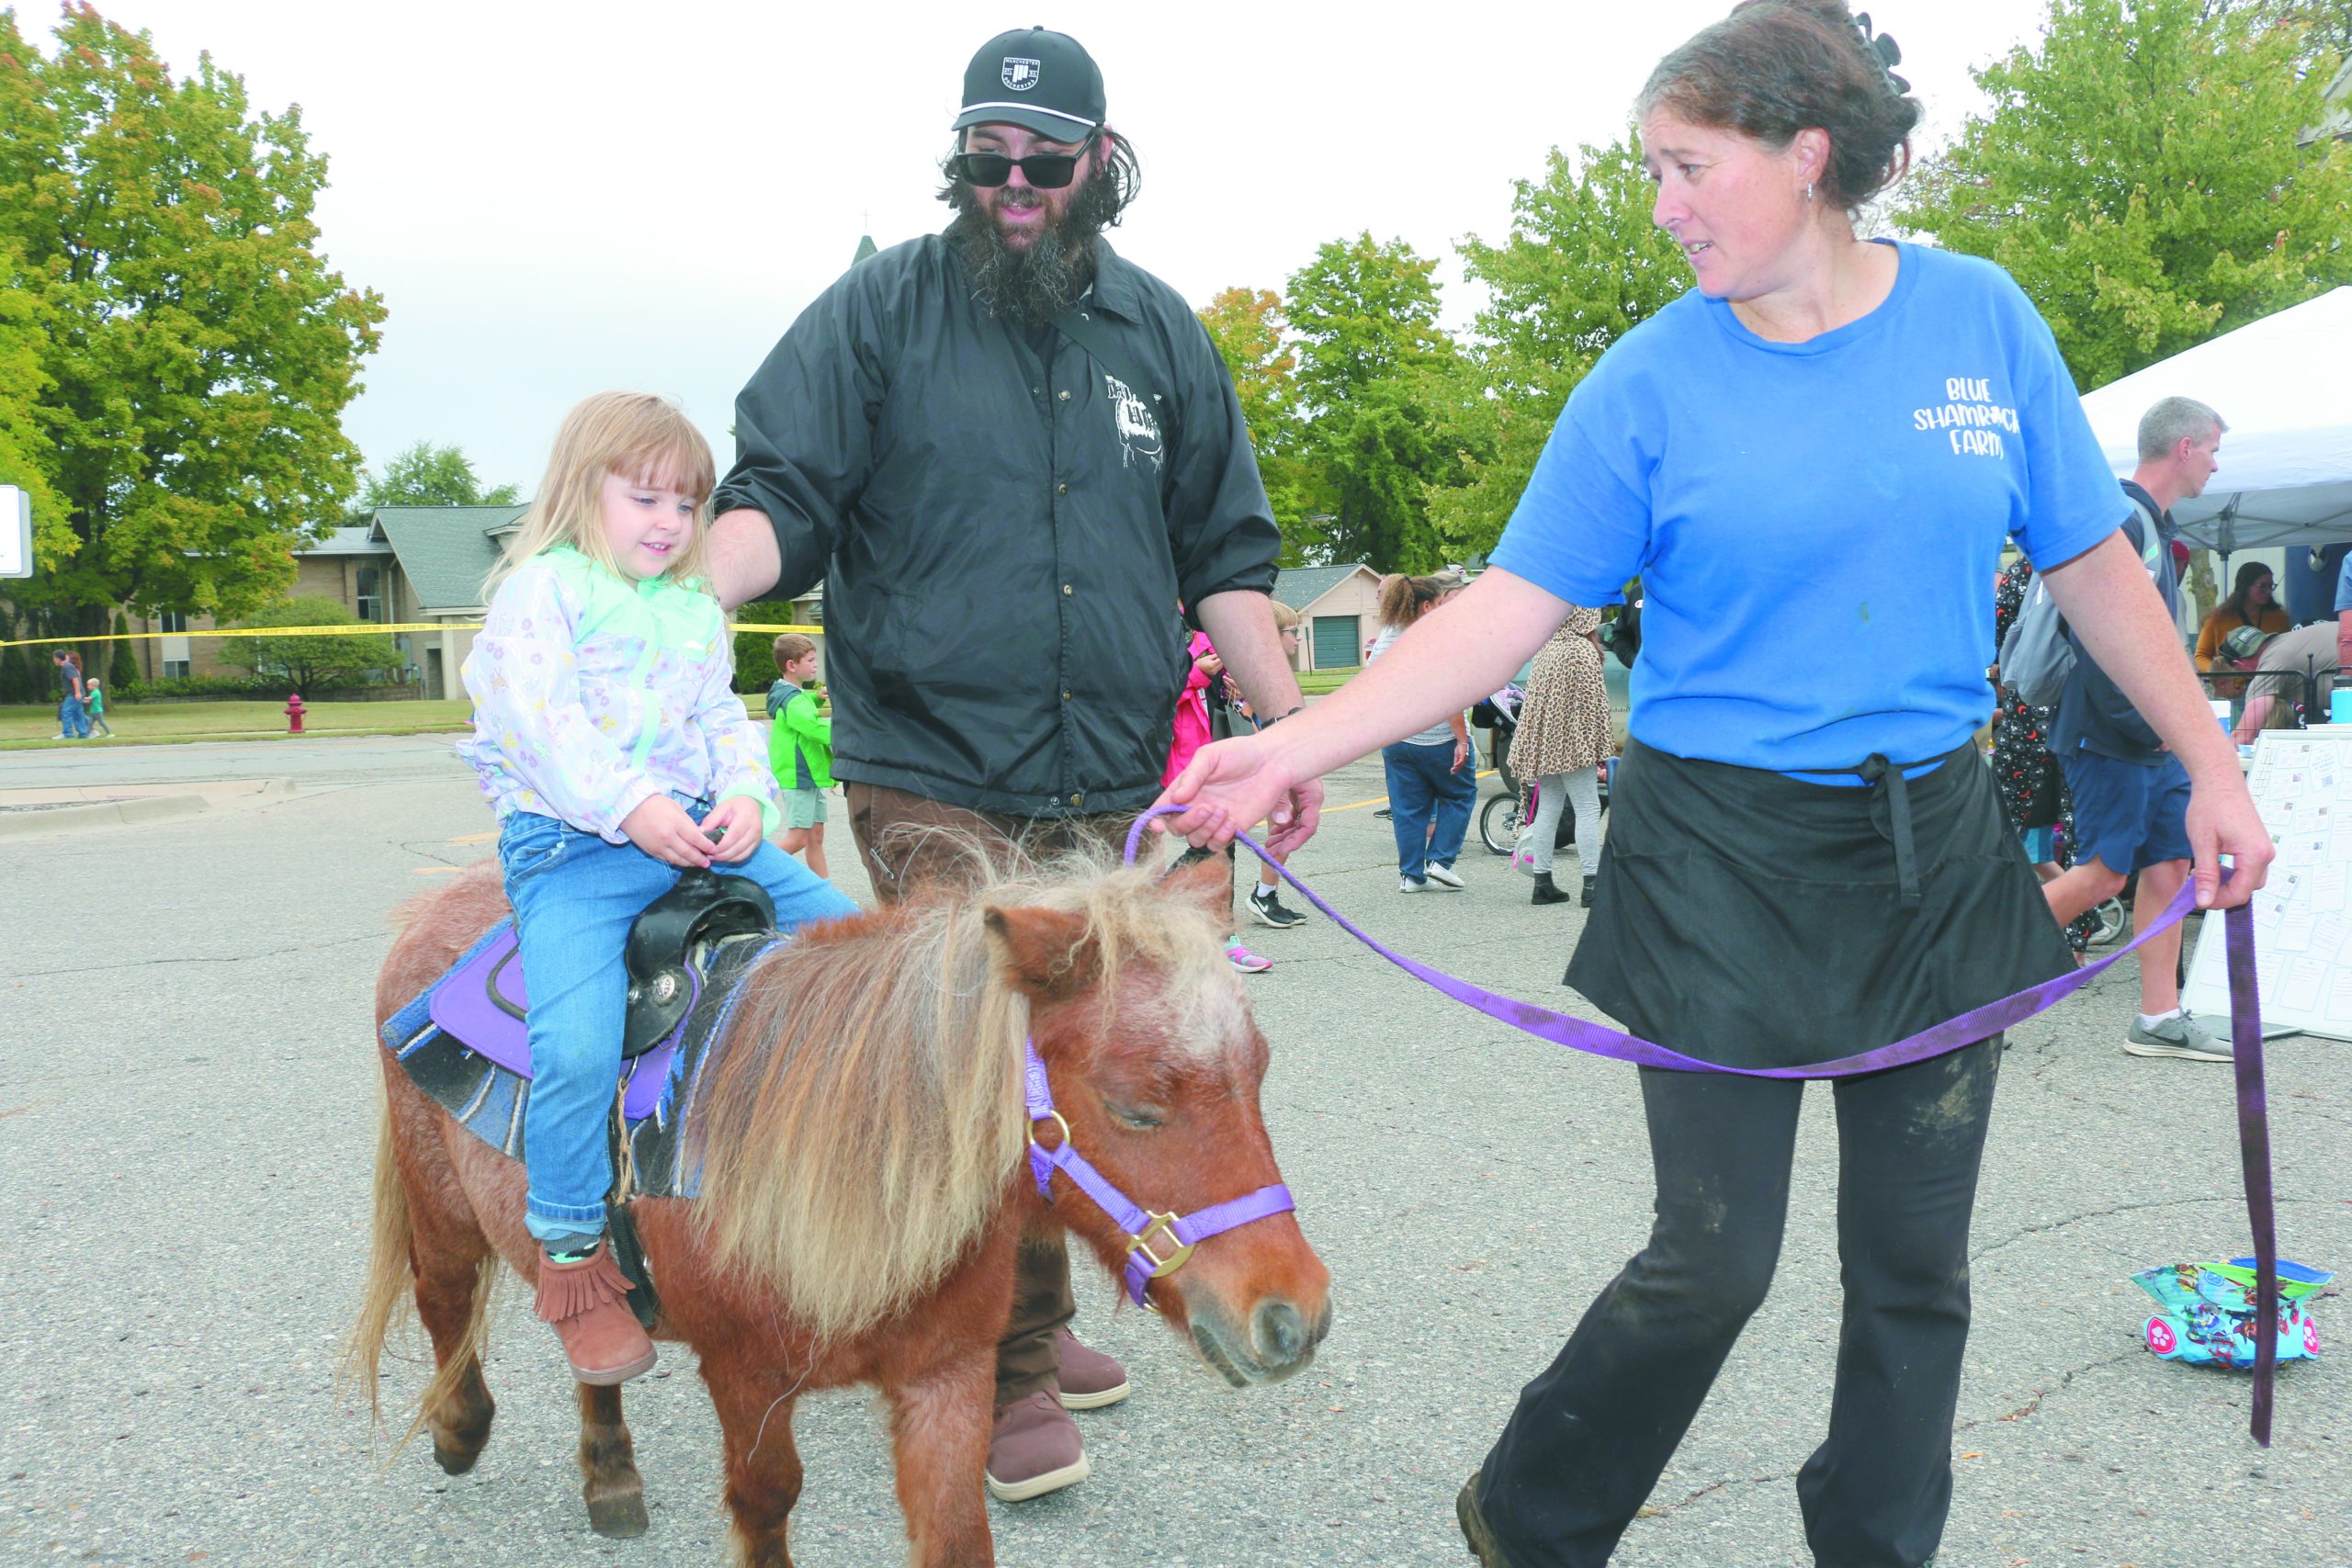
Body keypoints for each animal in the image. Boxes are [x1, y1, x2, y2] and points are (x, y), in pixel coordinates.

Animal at [350, 860, 1345, 1568]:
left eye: (1257, 1073)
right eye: (1135, 1106)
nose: (1294, 1315)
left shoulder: (946, 1381)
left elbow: (956, 1534)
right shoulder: (747, 1381)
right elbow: (766, 1507)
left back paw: (609, 1474)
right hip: (445, 1218)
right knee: (443, 1304)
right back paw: (459, 1429)